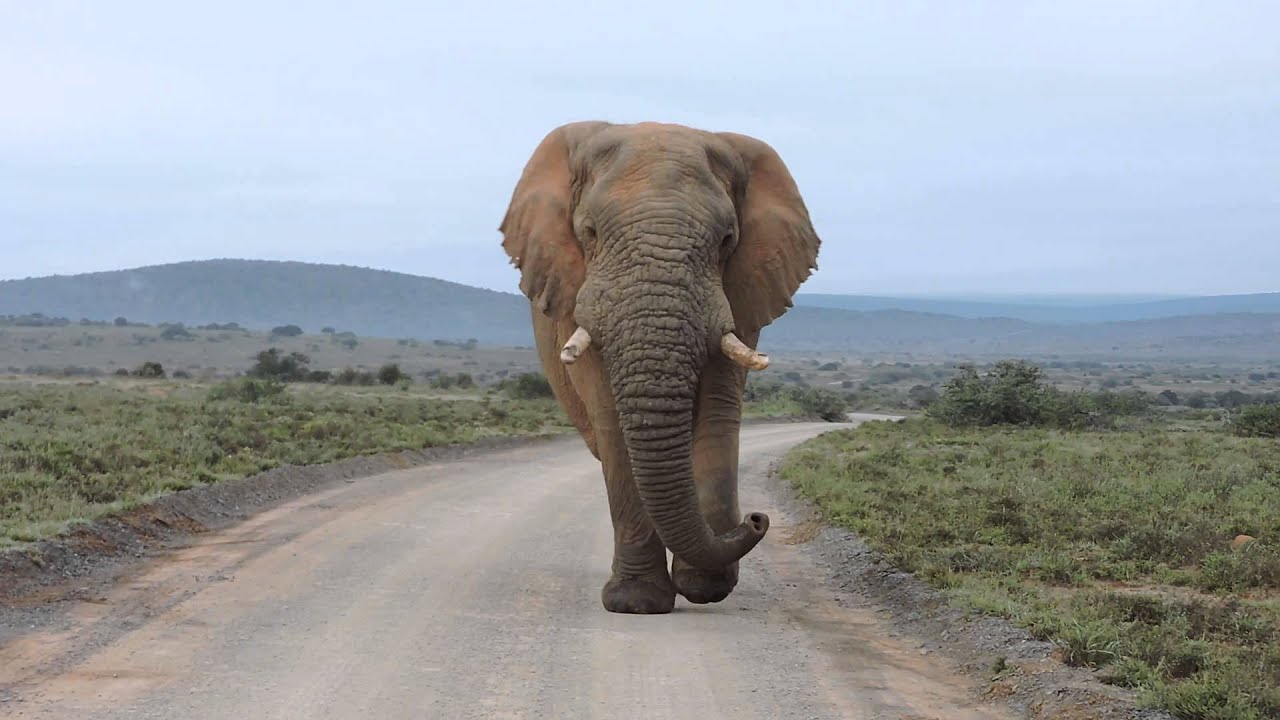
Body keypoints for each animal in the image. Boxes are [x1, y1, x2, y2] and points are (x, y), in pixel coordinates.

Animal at [498, 121, 821, 614]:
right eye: (589, 232)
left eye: (727, 240)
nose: (757, 519)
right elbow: (613, 423)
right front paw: (637, 602)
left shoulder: (742, 293)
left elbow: (717, 413)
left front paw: (705, 588)